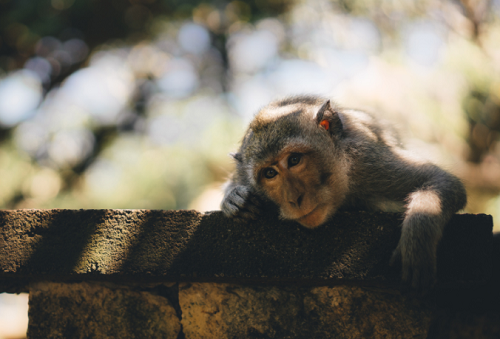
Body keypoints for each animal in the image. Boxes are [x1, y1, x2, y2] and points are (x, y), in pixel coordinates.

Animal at [221, 95, 466, 292]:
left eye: (294, 160)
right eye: (270, 173)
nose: (294, 199)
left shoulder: (367, 162)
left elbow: (441, 180)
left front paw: (417, 242)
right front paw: (234, 200)